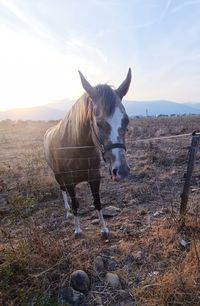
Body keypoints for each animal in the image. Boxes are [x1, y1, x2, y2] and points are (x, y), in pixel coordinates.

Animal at [43, 68, 131, 238]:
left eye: (126, 120)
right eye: (98, 122)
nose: (121, 170)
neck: (78, 149)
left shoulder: (94, 178)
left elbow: (97, 202)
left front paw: (104, 229)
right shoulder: (69, 180)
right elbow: (75, 203)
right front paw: (77, 229)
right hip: (57, 175)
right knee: (63, 191)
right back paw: (67, 213)